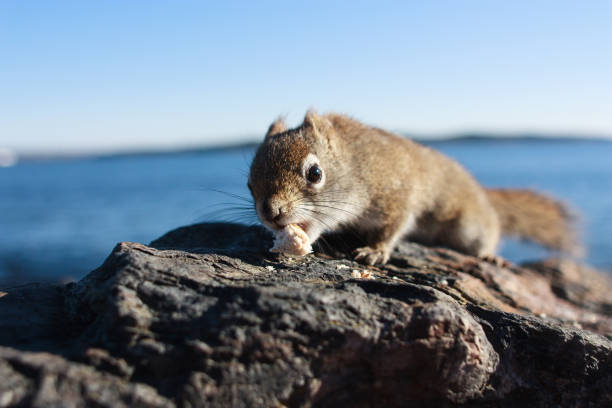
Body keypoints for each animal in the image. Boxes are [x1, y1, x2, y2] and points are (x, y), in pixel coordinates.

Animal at [245, 110, 580, 266]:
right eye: (249, 183)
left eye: (315, 173)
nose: (270, 213)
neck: (358, 165)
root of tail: (483, 196)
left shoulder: (397, 197)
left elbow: (394, 227)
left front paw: (374, 251)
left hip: (470, 226)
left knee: (486, 237)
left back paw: (490, 256)